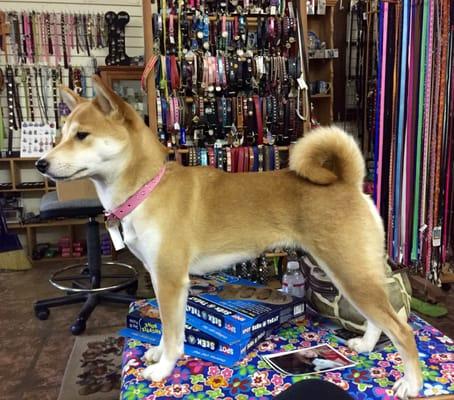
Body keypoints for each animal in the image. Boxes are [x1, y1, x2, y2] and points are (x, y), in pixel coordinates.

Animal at [36, 76, 422, 398]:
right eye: (60, 135)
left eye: (82, 135)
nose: (41, 163)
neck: (148, 188)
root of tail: (347, 182)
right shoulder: (161, 279)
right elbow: (166, 328)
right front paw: (158, 353)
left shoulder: (170, 279)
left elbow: (173, 332)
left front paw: (164, 368)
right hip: (346, 273)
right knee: (382, 317)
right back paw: (367, 345)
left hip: (350, 272)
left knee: (402, 328)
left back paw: (412, 384)